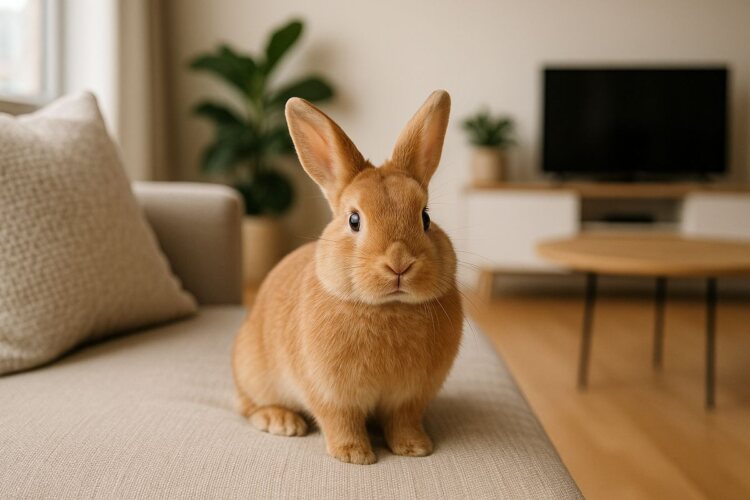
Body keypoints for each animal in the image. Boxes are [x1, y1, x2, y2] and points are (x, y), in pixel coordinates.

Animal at [232, 90, 463, 465]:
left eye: (425, 218)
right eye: (354, 220)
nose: (399, 263)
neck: (389, 307)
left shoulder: (409, 399)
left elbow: (403, 421)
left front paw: (416, 448)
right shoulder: (331, 394)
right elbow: (341, 421)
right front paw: (354, 455)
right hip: (255, 370)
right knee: (248, 405)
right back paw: (281, 421)